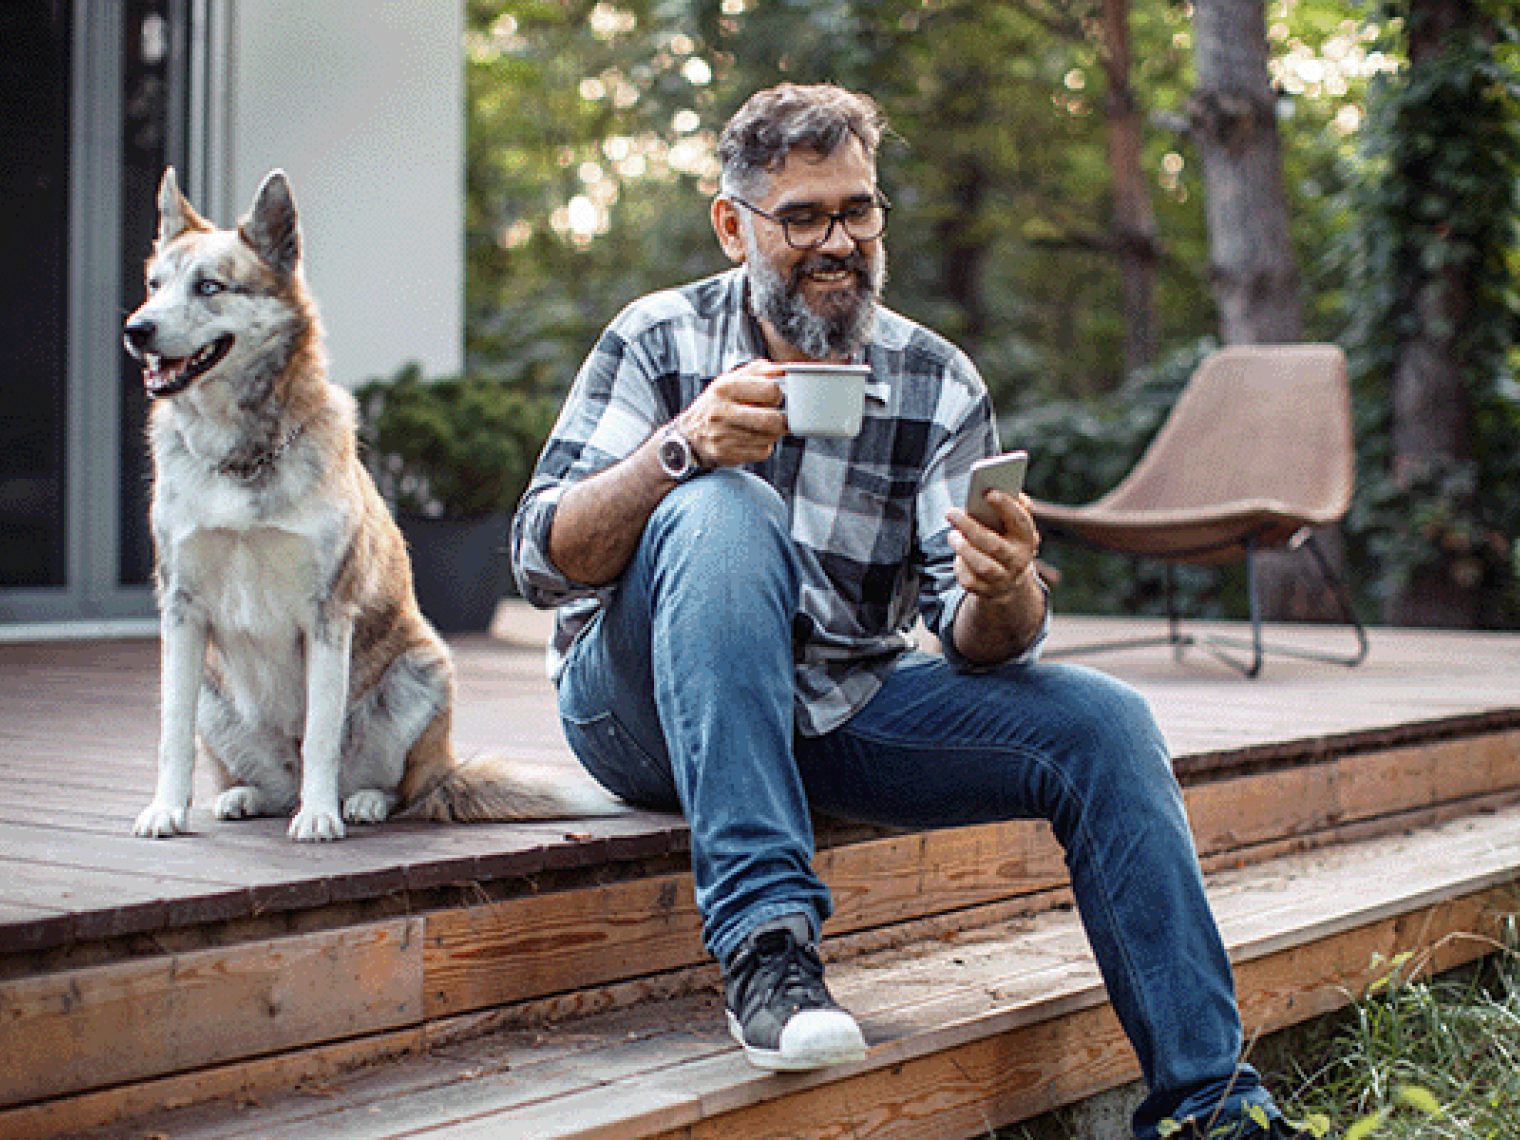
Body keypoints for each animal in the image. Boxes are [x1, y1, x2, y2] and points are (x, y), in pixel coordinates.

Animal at [123, 171, 611, 851]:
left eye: (210, 286)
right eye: (154, 285)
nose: (136, 330)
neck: (240, 456)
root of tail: (446, 770)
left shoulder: (328, 613)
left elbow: (323, 735)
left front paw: (319, 816)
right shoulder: (181, 609)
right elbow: (171, 735)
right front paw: (165, 810)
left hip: (422, 669)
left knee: (398, 786)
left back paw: (360, 803)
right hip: (216, 697)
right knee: (265, 778)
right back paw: (247, 796)